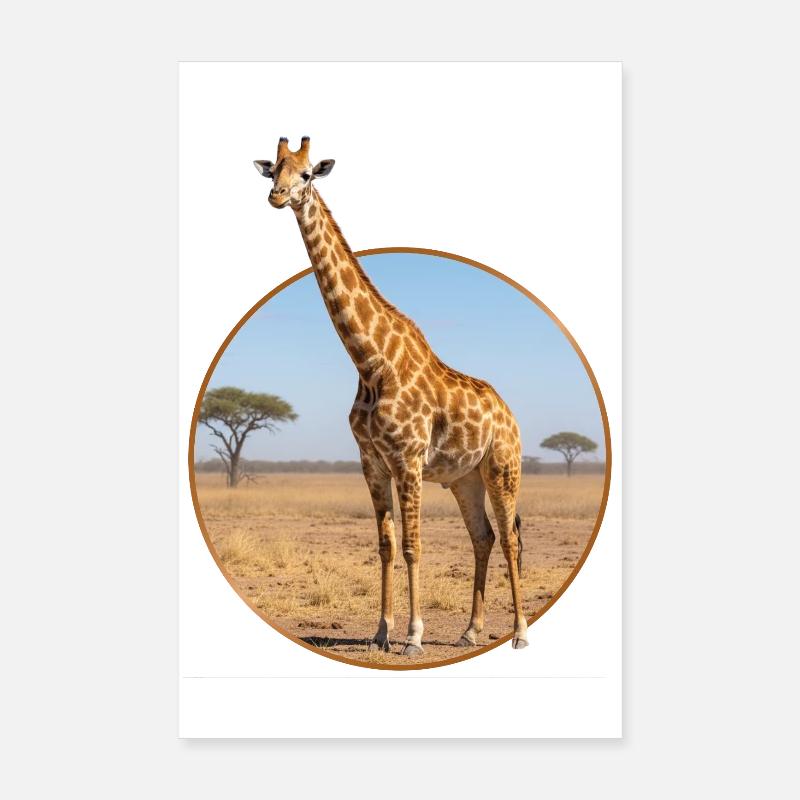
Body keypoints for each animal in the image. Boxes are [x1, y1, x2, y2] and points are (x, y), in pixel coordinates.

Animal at [254, 137, 528, 654]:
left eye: (307, 175)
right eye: (273, 170)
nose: (277, 197)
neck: (369, 361)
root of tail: (511, 416)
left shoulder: (408, 459)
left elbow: (413, 545)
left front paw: (414, 636)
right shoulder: (372, 462)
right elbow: (385, 545)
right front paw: (382, 631)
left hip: (503, 468)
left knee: (508, 538)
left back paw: (520, 633)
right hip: (465, 478)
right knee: (482, 537)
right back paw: (470, 631)